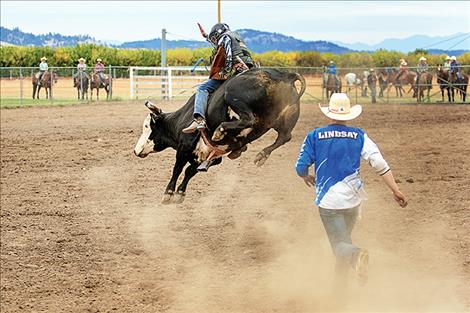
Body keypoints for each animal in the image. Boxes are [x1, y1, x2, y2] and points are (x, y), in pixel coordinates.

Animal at [134, 68, 306, 204]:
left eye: (147, 127)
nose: (135, 150)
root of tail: (285, 74)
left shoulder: (184, 148)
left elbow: (178, 169)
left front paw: (168, 193)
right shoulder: (213, 157)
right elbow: (190, 171)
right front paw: (180, 193)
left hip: (233, 95)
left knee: (251, 120)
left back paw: (220, 130)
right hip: (284, 118)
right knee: (285, 136)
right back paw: (261, 155)